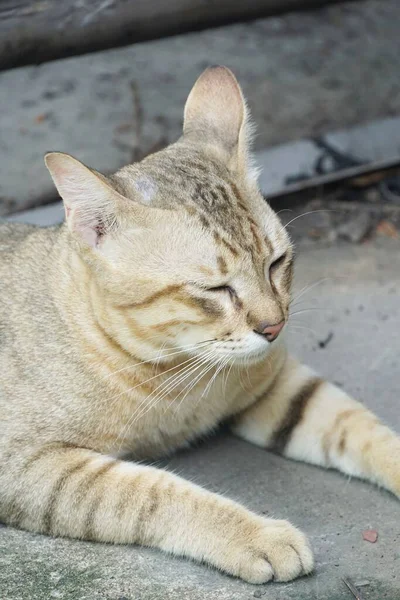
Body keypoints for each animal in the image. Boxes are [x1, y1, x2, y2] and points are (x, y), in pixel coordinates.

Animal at [0, 67, 400, 584]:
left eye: (276, 263)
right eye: (215, 289)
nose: (274, 327)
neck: (177, 374)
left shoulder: (278, 385)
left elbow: (362, 427)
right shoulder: (29, 464)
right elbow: (152, 493)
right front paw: (256, 534)